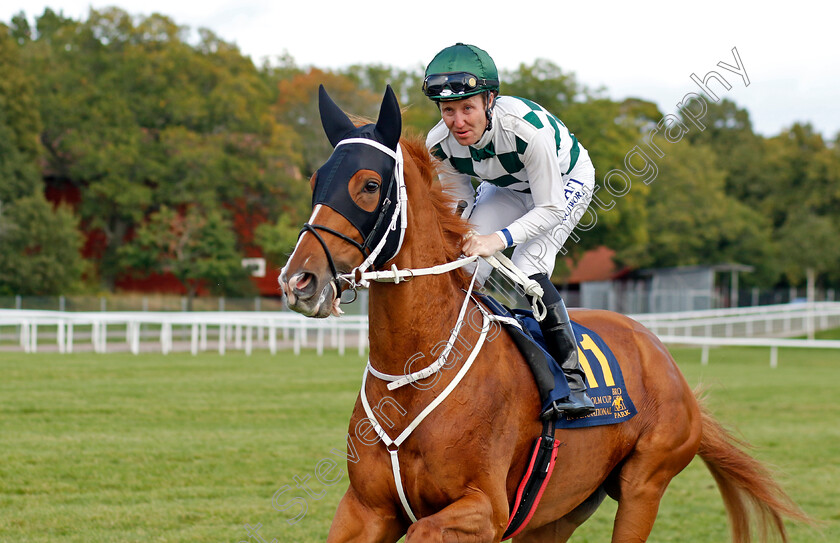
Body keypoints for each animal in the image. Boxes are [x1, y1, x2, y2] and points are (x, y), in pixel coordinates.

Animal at [280, 86, 808, 543]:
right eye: (315, 180)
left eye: (369, 185)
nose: (298, 280)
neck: (412, 378)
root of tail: (664, 357)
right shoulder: (366, 509)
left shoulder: (484, 511)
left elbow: (430, 527)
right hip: (556, 512)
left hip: (644, 486)